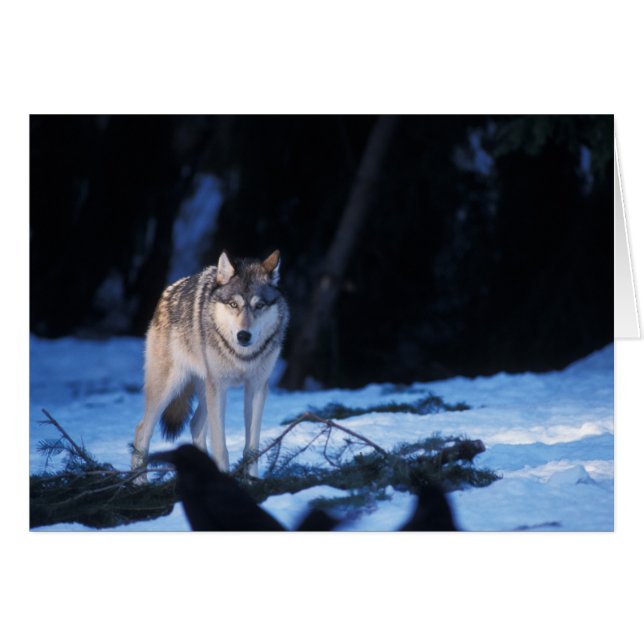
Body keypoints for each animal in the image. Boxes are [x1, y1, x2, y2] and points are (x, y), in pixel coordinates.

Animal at [131, 250, 288, 479]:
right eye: (233, 305)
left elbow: (252, 447)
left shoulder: (257, 387)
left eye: (259, 306)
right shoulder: (219, 387)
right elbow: (220, 447)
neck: (242, 356)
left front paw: (252, 480)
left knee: (195, 424)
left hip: (205, 391)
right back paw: (139, 483)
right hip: (171, 388)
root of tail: (168, 291)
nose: (243, 335)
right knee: (141, 431)